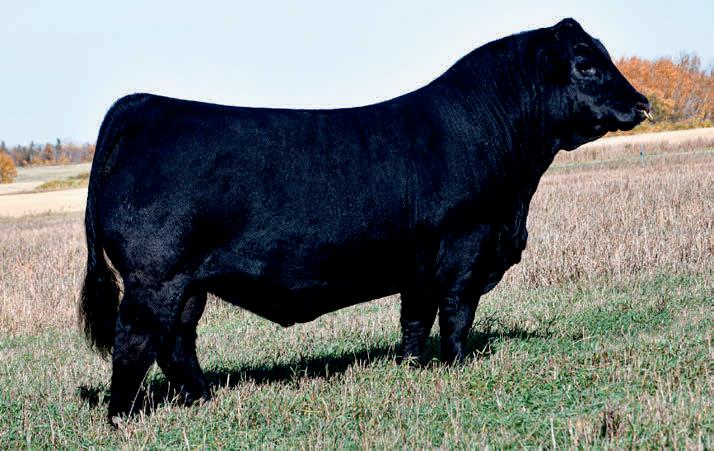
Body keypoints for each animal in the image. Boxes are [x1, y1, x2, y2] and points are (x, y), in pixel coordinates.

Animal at [79, 18, 651, 423]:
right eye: (586, 63)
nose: (642, 102)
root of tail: (145, 105)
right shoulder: (466, 247)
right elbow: (457, 316)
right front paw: (458, 366)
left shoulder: (419, 264)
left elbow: (415, 320)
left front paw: (413, 368)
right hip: (155, 278)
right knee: (134, 342)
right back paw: (122, 418)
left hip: (187, 283)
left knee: (176, 341)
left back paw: (203, 399)